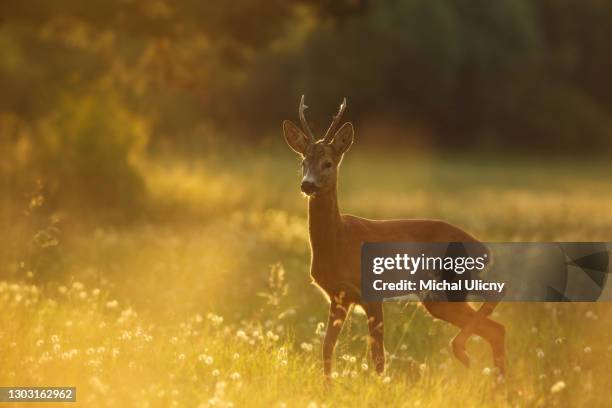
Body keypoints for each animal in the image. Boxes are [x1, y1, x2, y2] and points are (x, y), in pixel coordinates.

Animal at [284, 97, 506, 378]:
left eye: (328, 163)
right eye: (303, 163)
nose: (307, 184)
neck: (340, 242)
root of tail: (484, 248)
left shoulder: (370, 293)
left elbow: (378, 357)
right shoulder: (338, 296)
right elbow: (326, 350)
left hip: (448, 284)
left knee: (496, 305)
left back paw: (461, 351)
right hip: (440, 294)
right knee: (496, 329)